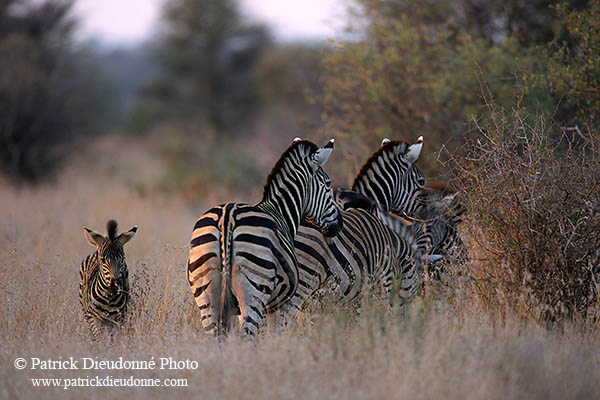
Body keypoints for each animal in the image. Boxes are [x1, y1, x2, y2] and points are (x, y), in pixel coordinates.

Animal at [185, 138, 340, 338]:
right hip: (254, 292)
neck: (280, 212)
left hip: (206, 293)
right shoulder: (279, 306)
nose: (339, 224)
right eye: (328, 184)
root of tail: (227, 218)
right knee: (247, 337)